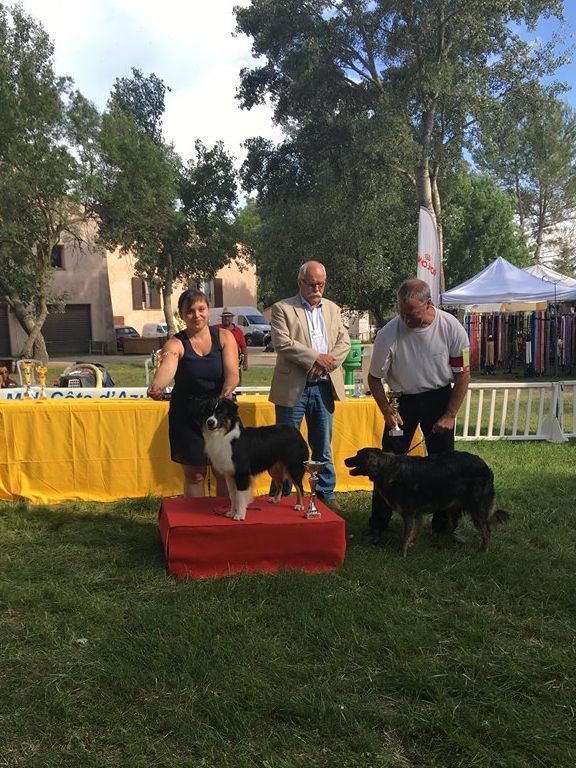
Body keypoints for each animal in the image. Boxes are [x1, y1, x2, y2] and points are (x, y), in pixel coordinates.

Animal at [345, 448, 509, 556]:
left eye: (358, 455)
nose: (345, 460)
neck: (388, 468)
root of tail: (487, 468)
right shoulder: (416, 513)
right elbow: (413, 531)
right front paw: (411, 545)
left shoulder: (409, 512)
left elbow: (406, 534)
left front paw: (402, 552)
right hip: (452, 505)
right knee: (454, 524)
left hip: (477, 508)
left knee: (487, 530)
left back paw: (484, 550)